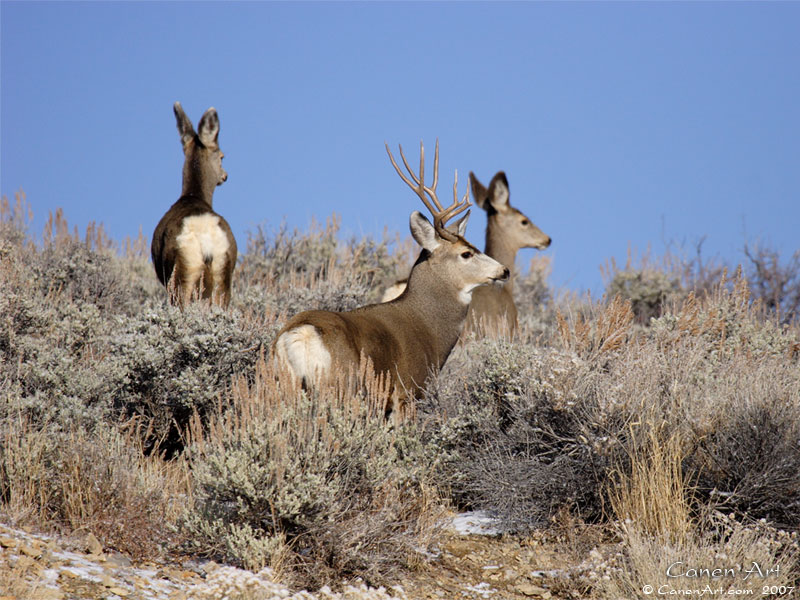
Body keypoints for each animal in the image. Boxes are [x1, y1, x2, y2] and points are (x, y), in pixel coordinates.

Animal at [272, 141, 510, 412]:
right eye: (466, 253)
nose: (504, 270)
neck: (428, 325)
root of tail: (298, 334)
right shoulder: (407, 392)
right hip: (338, 387)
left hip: (285, 385)